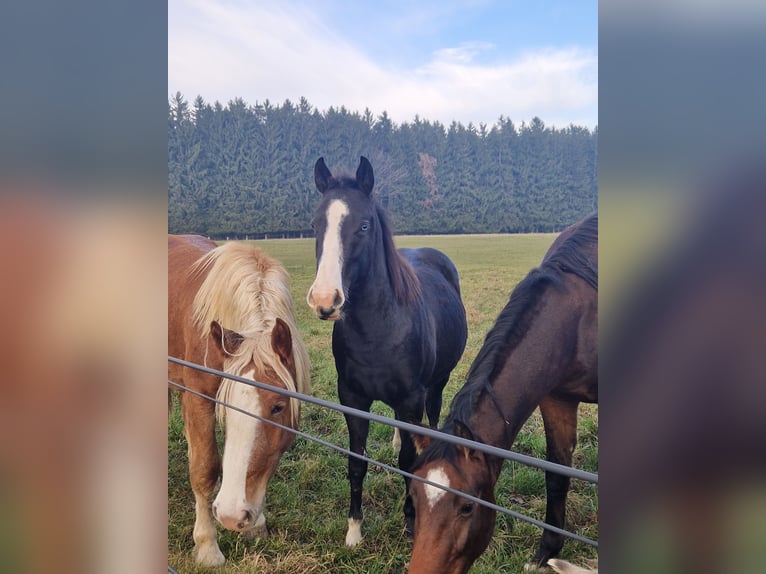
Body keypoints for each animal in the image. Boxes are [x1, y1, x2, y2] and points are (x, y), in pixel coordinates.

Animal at [168, 234, 311, 567]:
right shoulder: (199, 397)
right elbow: (205, 468)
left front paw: (256, 523)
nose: (232, 516)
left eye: (277, 407)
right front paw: (207, 546)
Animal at [306, 156, 468, 547]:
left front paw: (411, 523)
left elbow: (409, 463)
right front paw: (354, 529)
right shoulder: (352, 399)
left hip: (436, 385)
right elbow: (356, 462)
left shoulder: (411, 400)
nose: (324, 300)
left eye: (364, 225)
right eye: (315, 224)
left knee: (431, 417)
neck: (378, 330)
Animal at [407, 212, 597, 574]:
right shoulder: (556, 398)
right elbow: (557, 474)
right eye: (414, 496)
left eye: (467, 507)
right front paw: (546, 552)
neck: (578, 319)